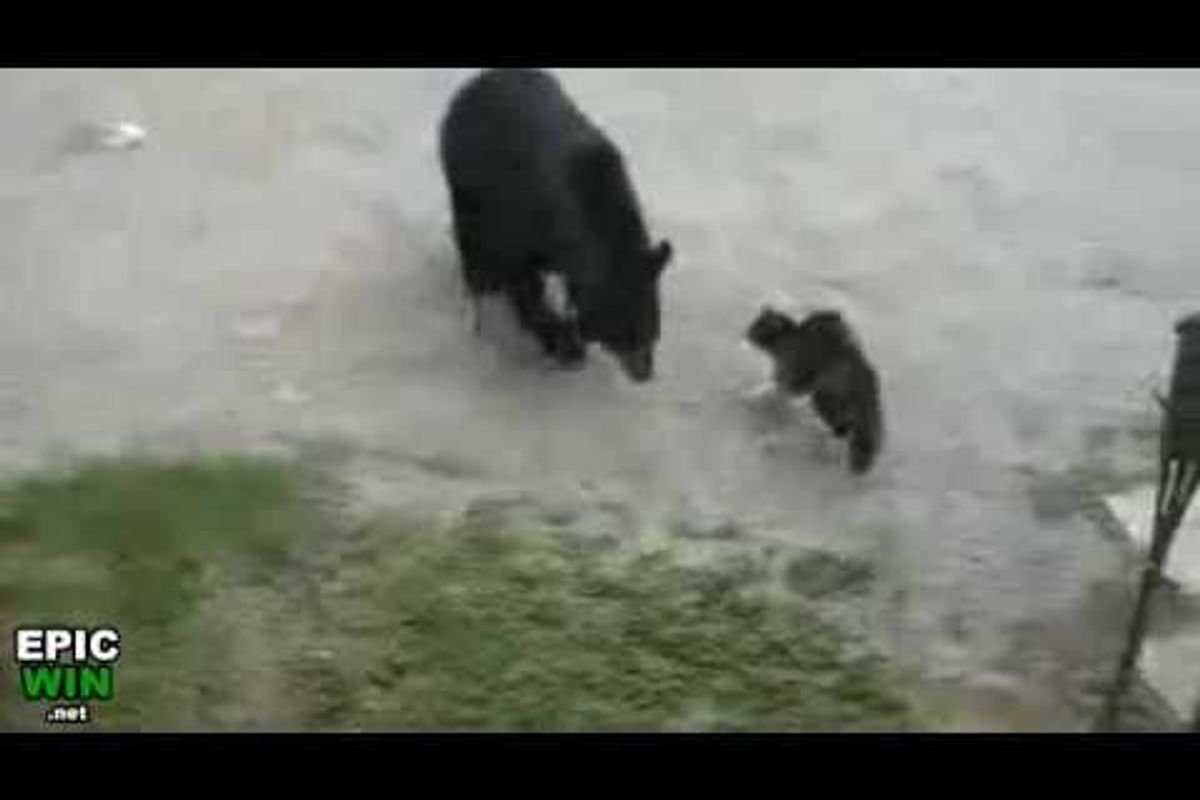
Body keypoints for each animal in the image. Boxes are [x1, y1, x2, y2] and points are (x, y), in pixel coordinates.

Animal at [438, 68, 674, 383]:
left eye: (653, 327)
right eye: (625, 332)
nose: (644, 373)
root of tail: (474, 82)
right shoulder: (519, 219)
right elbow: (521, 281)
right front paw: (563, 344)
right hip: (467, 182)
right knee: (471, 239)